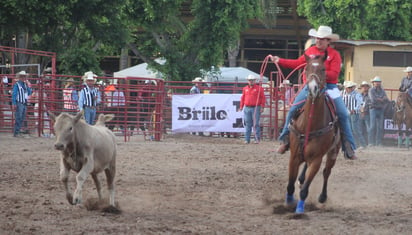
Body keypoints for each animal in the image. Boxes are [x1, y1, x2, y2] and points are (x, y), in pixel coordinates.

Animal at [286, 52, 342, 213]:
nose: (313, 88)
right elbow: (290, 185)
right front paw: (289, 202)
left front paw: (299, 210)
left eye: (323, 69)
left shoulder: (316, 160)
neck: (309, 124)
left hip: (333, 152)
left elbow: (305, 190)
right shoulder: (294, 156)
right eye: (306, 68)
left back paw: (322, 197)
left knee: (326, 172)